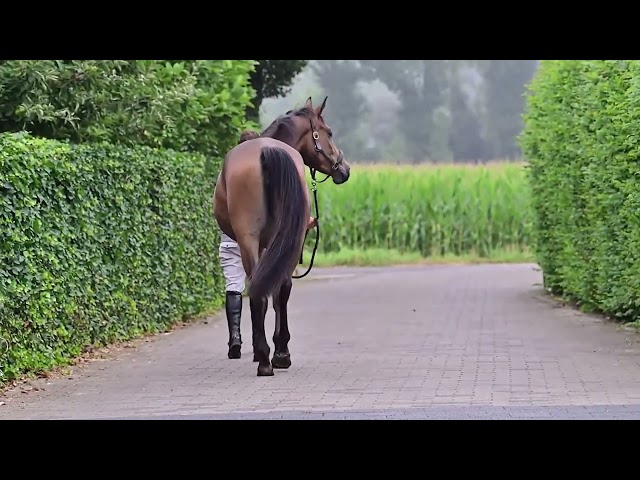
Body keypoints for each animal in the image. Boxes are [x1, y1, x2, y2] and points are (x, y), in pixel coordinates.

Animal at [213, 96, 351, 377]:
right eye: (329, 132)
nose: (345, 169)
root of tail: (266, 151)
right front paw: (278, 350)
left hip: (251, 240)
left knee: (259, 291)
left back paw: (266, 358)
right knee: (280, 287)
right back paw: (276, 355)